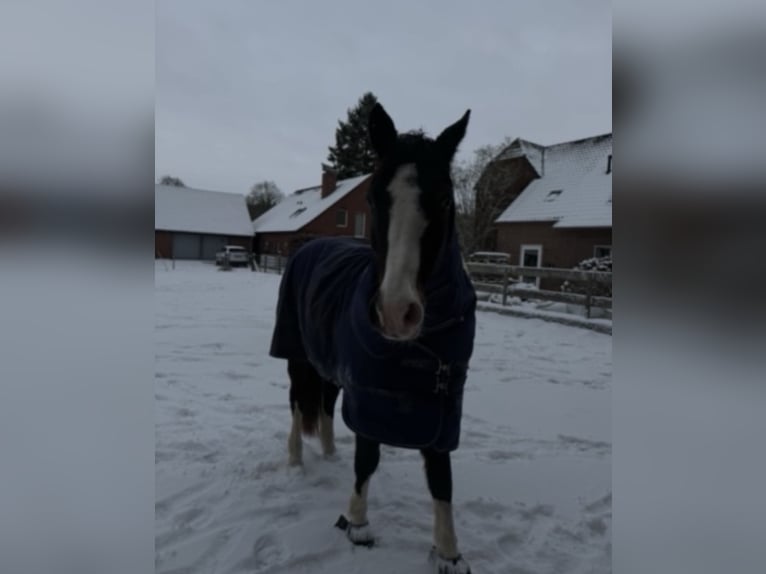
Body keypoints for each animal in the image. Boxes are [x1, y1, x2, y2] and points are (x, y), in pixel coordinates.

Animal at [269, 103, 477, 574]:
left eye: (443, 199)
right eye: (373, 199)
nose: (396, 312)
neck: (421, 347)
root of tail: (309, 245)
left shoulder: (443, 407)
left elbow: (443, 479)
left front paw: (449, 554)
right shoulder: (369, 393)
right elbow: (368, 459)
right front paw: (357, 525)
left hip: (330, 366)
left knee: (326, 404)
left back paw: (329, 453)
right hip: (296, 358)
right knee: (297, 407)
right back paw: (296, 463)